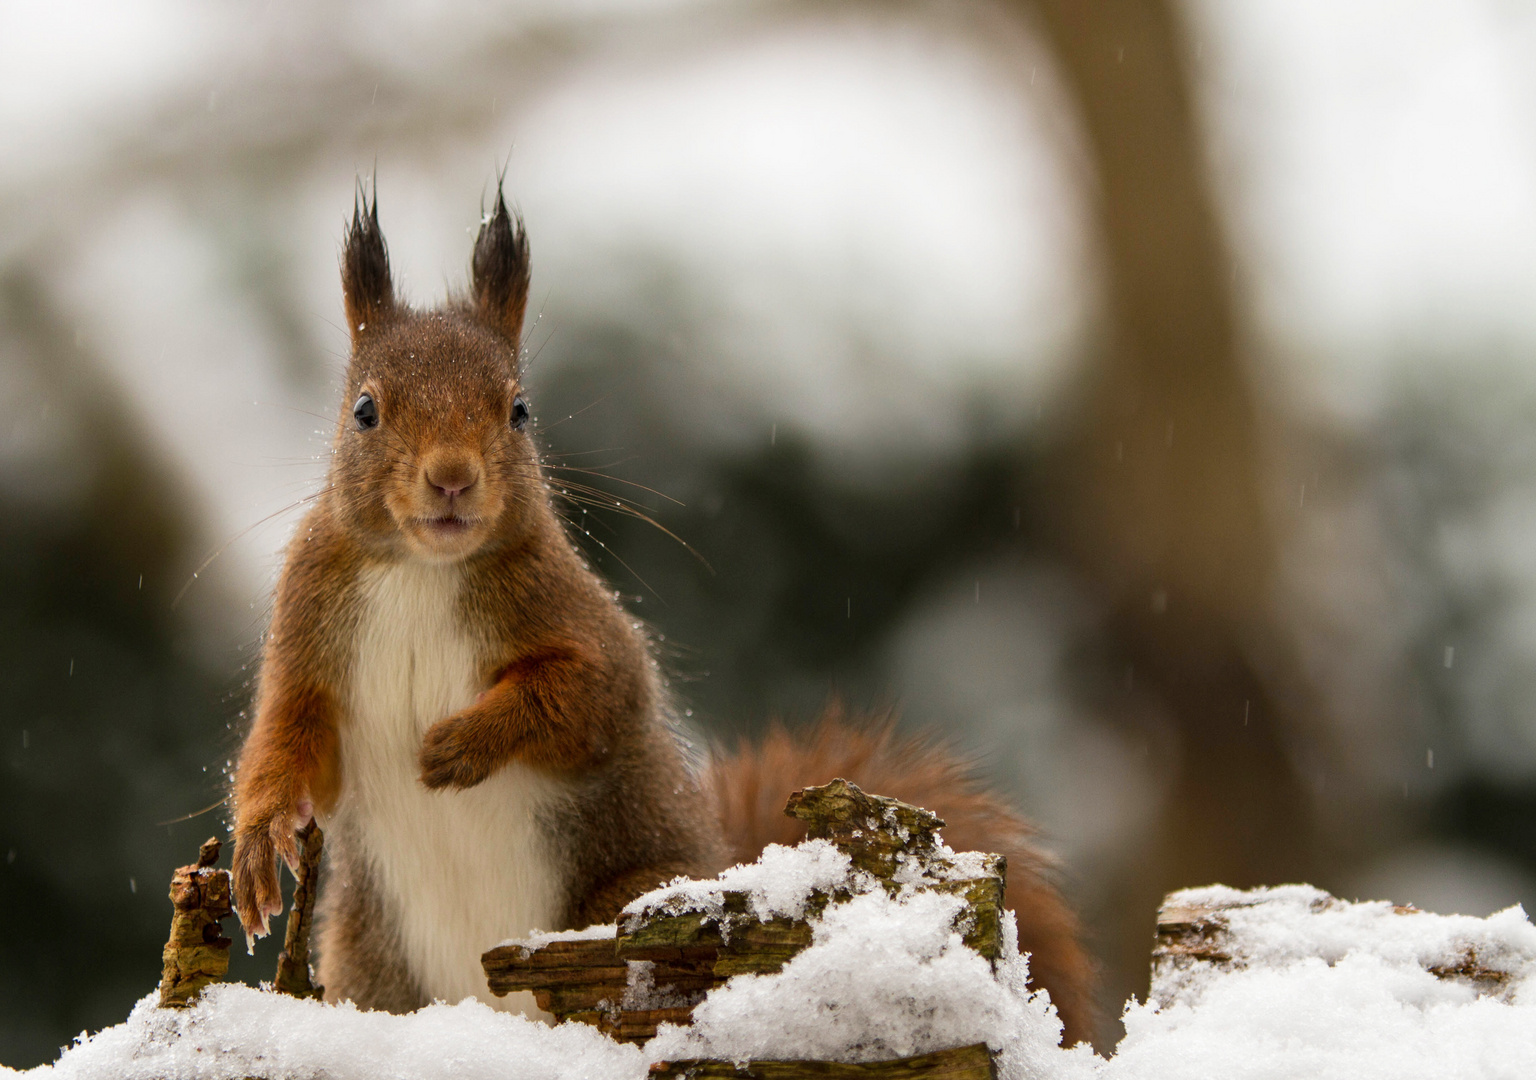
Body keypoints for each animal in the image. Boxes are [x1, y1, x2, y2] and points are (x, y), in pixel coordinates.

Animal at [227, 183, 1099, 1044]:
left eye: (519, 410)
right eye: (364, 411)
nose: (451, 478)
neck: (420, 571)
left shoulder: (586, 628)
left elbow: (586, 701)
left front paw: (461, 743)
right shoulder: (306, 631)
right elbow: (287, 740)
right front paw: (259, 841)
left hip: (628, 901)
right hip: (369, 955)